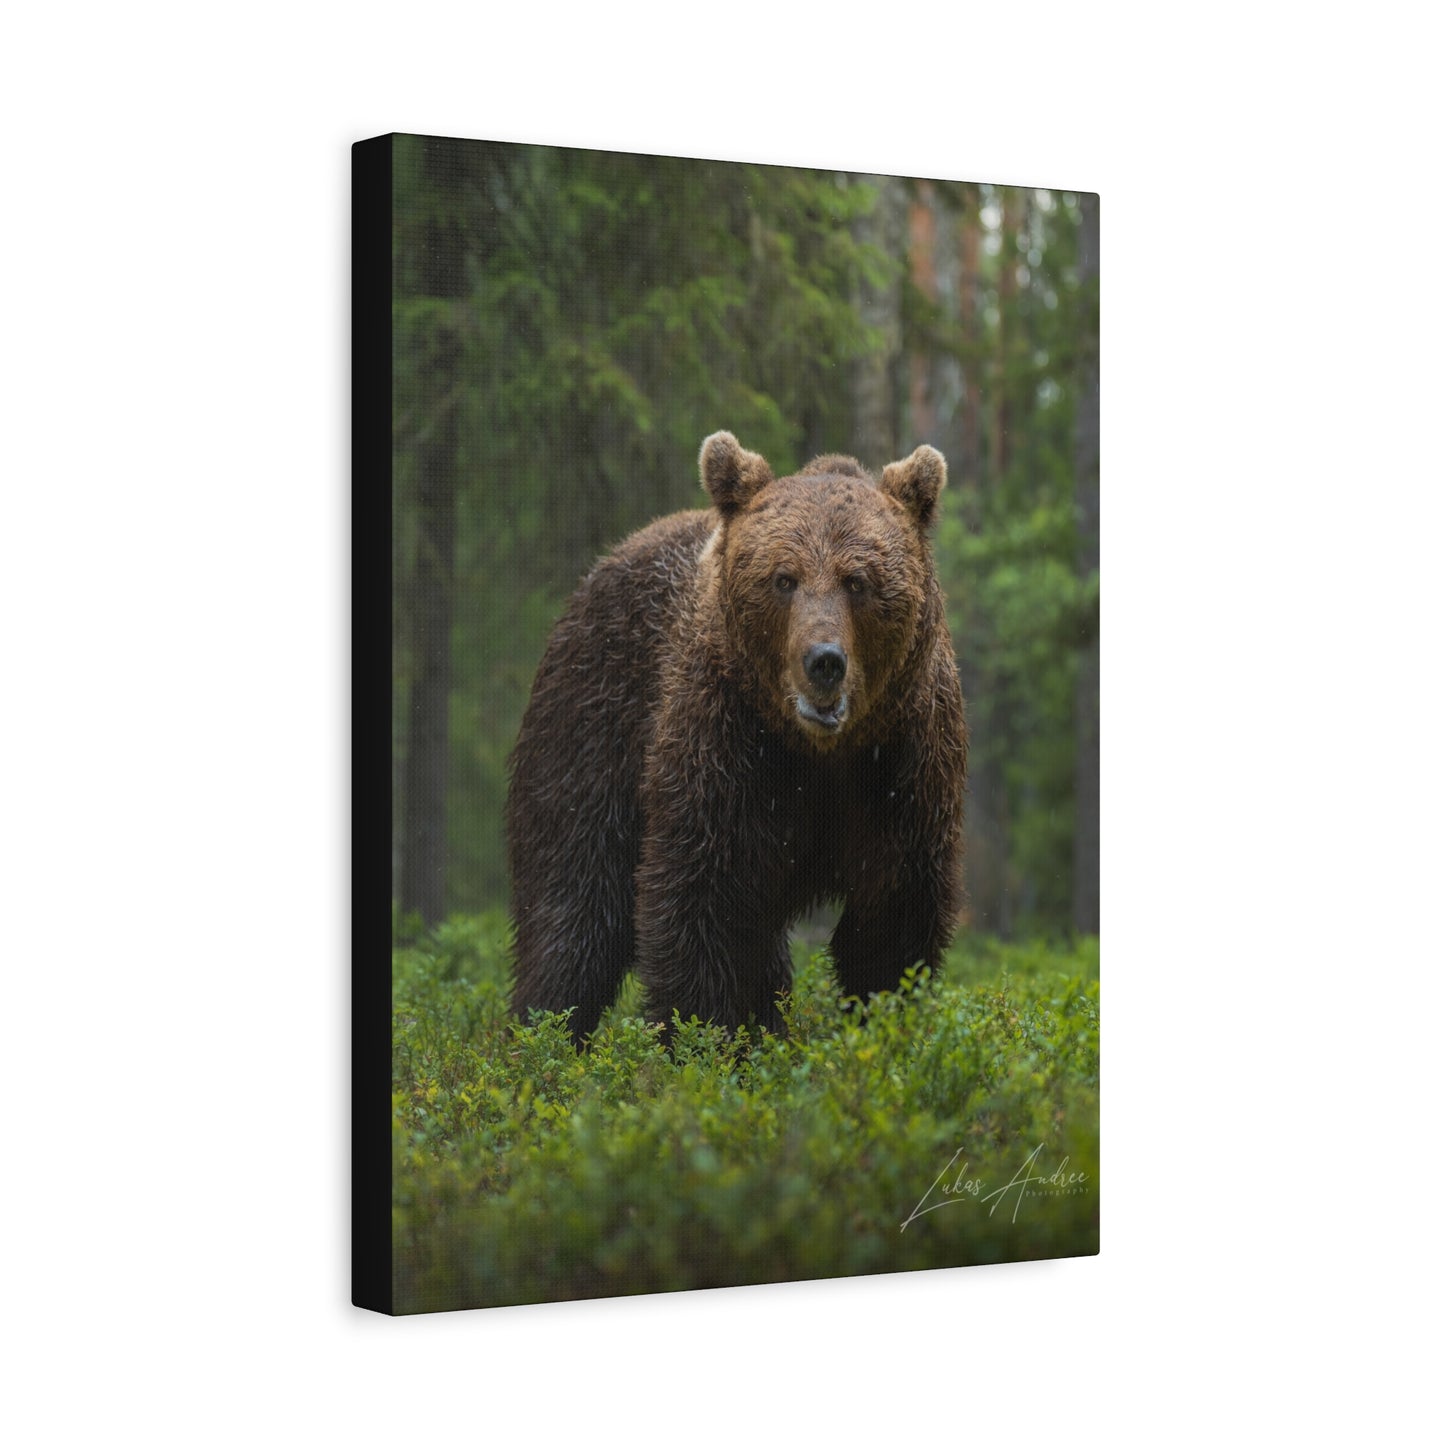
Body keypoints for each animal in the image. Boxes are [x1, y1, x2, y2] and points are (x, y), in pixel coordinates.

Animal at [506, 431, 967, 1045]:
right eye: (783, 578)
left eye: (858, 581)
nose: (824, 662)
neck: (821, 750)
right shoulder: (728, 743)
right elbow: (704, 903)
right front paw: (704, 1038)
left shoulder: (902, 762)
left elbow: (894, 918)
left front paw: (885, 1021)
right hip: (592, 721)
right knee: (574, 903)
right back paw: (538, 1035)